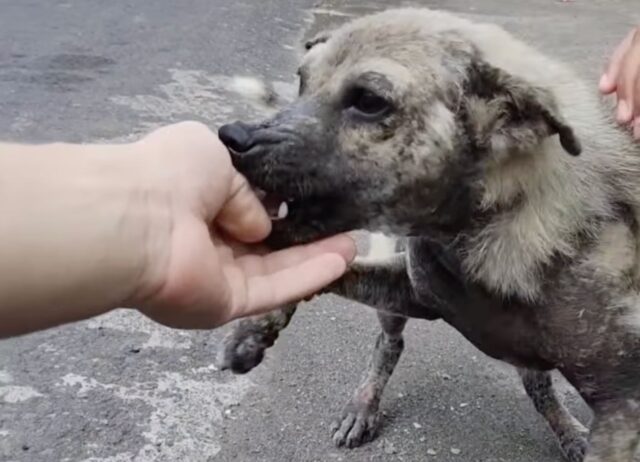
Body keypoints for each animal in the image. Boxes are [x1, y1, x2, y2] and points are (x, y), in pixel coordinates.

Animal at [214, 8, 640, 462]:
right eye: (301, 80)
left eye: (369, 101)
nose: (232, 138)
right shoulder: (412, 290)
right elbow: (330, 270)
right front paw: (254, 328)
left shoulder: (621, 405)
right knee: (390, 343)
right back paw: (363, 406)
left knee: (535, 382)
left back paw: (569, 432)